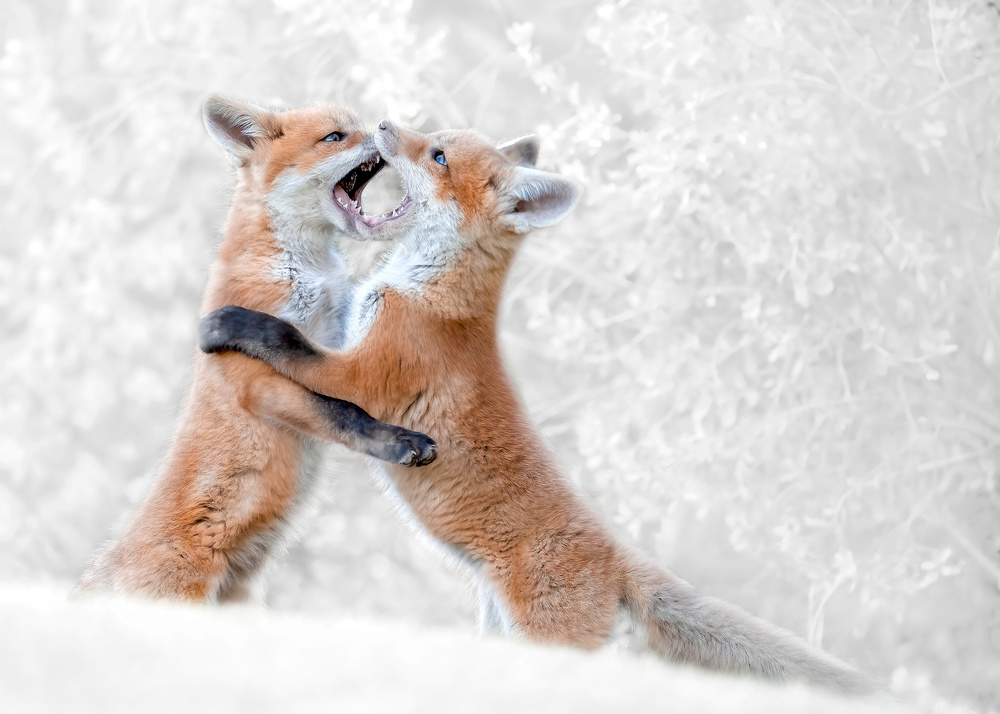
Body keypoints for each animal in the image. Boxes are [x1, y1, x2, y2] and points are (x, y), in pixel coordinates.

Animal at [76, 97, 437, 603]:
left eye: (359, 124)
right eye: (335, 136)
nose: (386, 128)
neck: (306, 267)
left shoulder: (335, 335)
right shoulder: (255, 381)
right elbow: (341, 410)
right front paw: (398, 442)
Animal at [198, 120, 879, 693]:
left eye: (438, 155)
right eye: (431, 137)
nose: (386, 124)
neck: (429, 294)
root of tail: (615, 551)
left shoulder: (363, 371)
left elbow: (287, 342)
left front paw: (233, 324)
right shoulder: (351, 337)